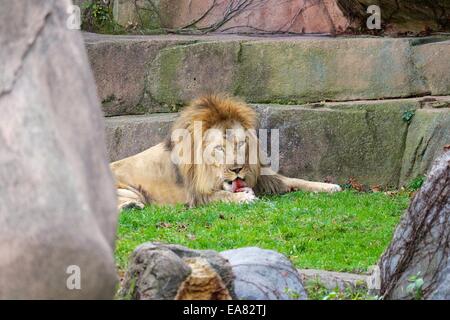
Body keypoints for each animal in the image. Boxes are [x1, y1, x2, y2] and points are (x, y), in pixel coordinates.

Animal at [110, 95, 342, 210]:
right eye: (219, 149)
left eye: (240, 144)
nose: (237, 169)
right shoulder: (197, 195)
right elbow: (222, 195)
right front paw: (243, 198)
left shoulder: (263, 177)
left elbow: (296, 180)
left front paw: (329, 187)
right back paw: (132, 206)